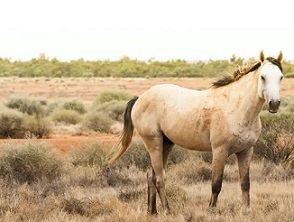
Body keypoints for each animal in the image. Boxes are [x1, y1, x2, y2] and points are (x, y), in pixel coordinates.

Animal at [108, 51, 282, 214]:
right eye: (263, 77)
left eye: (280, 77)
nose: (274, 104)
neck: (236, 107)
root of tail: (140, 98)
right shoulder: (220, 151)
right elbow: (216, 184)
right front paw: (211, 211)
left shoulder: (246, 151)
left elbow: (245, 184)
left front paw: (246, 211)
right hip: (154, 144)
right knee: (159, 179)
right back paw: (167, 210)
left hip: (166, 144)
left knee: (152, 177)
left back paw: (153, 212)